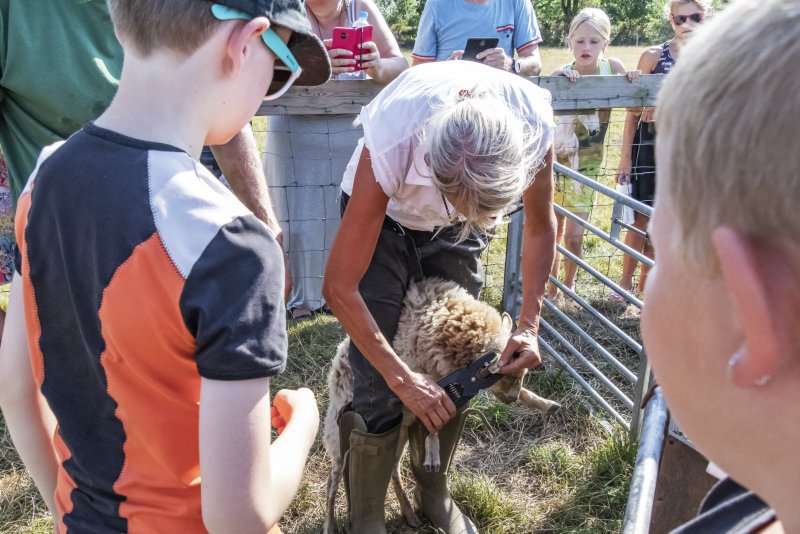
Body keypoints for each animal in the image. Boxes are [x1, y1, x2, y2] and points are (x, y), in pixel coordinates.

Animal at [322, 278, 560, 532]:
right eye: (506, 378)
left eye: (522, 375)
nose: (512, 399)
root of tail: (334, 370)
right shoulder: (423, 387)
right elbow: (433, 419)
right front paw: (433, 455)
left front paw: (546, 404)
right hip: (337, 438)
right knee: (334, 481)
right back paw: (329, 524)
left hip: (400, 435)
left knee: (393, 468)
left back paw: (410, 513)